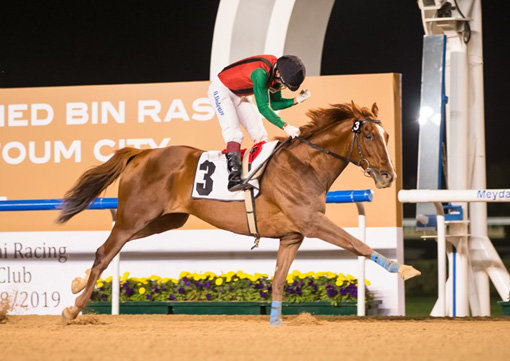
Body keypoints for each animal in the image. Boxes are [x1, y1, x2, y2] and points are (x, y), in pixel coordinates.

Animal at [57, 101, 420, 324]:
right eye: (369, 135)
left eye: (387, 135)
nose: (388, 176)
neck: (305, 165)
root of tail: (141, 154)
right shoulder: (312, 222)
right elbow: (356, 243)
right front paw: (402, 269)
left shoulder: (293, 235)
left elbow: (279, 278)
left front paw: (275, 319)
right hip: (134, 216)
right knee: (104, 252)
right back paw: (74, 309)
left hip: (165, 219)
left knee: (112, 248)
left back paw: (76, 283)